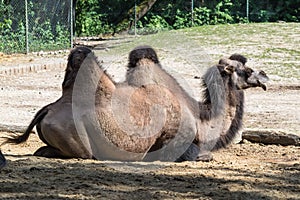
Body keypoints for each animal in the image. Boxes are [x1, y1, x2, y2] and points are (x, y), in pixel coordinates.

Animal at [4, 45, 268, 161]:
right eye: (245, 70)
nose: (264, 77)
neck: (201, 121)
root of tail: (48, 110)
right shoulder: (175, 143)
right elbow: (202, 155)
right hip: (76, 140)